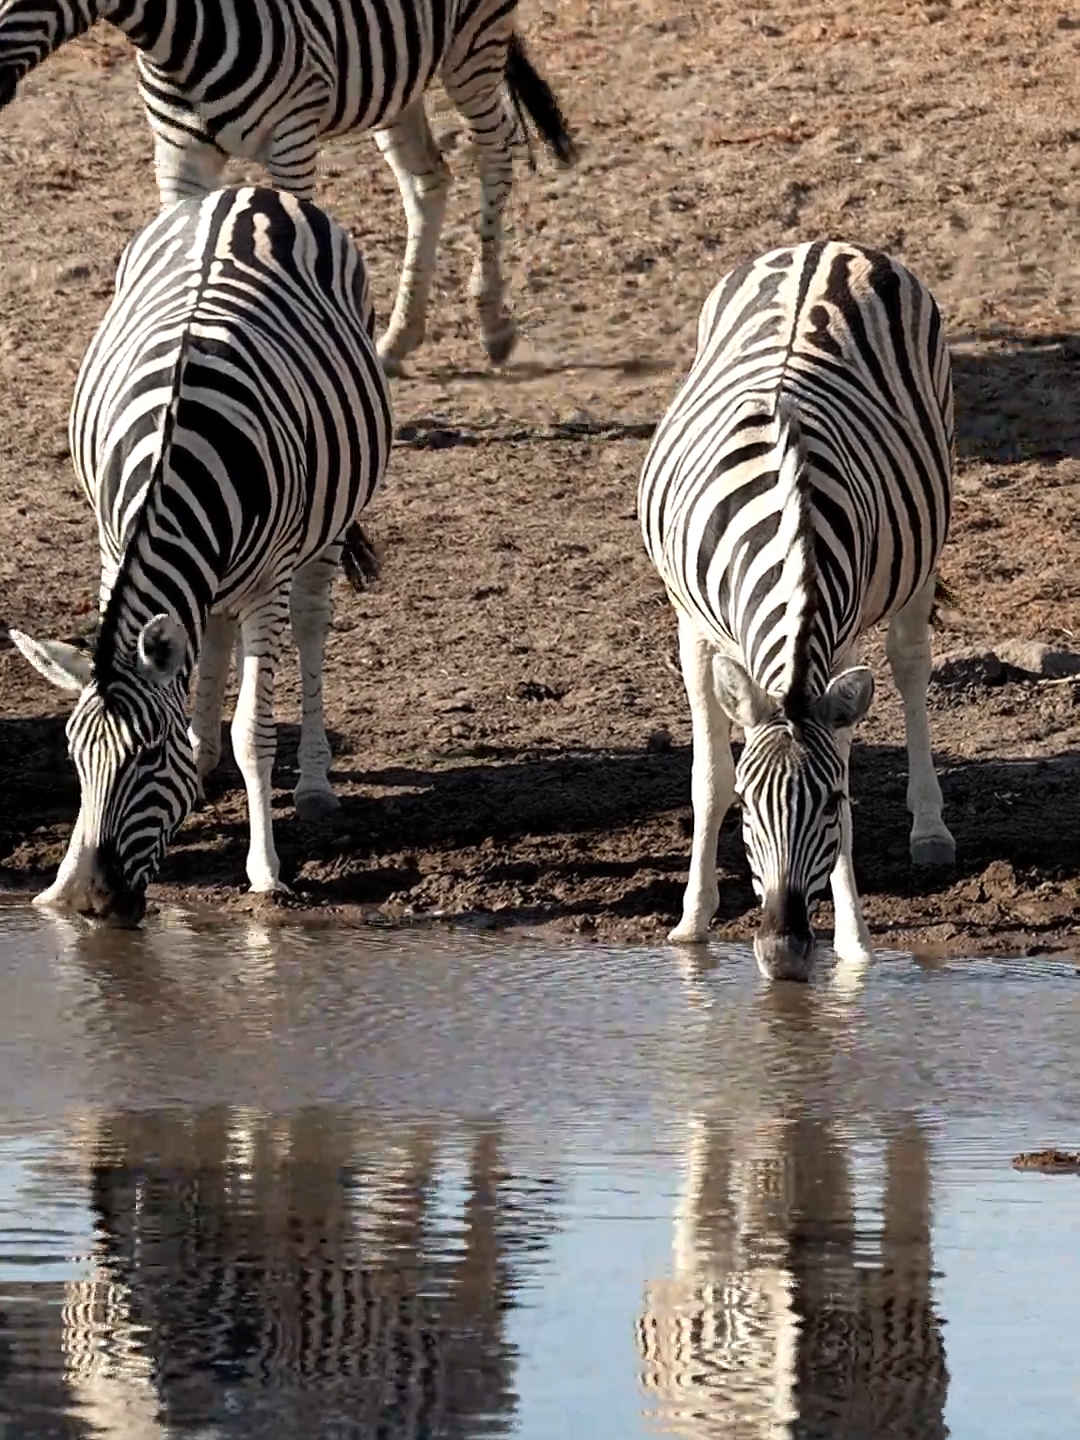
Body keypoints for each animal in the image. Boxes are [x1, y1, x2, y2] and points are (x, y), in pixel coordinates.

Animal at [0, 2, 578, 371]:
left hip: (474, 44)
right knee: (427, 180)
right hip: (398, 75)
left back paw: (493, 324)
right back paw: (398, 339)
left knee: (496, 150)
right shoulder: (178, 156)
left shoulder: (292, 140)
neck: (174, 40)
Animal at [6, 185, 394, 921]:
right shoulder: (111, 548)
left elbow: (255, 732)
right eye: (74, 756)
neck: (176, 451)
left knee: (310, 625)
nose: (92, 903)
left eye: (150, 754)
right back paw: (206, 753)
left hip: (325, 526)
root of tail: (247, 191)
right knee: (206, 627)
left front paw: (266, 871)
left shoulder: (269, 581)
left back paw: (314, 783)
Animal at [639, 241, 961, 979]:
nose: (784, 956)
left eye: (831, 805)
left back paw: (930, 828)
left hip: (925, 543)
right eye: (747, 809)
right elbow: (706, 777)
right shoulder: (693, 630)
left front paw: (854, 942)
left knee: (911, 668)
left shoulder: (838, 641)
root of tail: (830, 244)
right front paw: (692, 921)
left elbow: (843, 770)